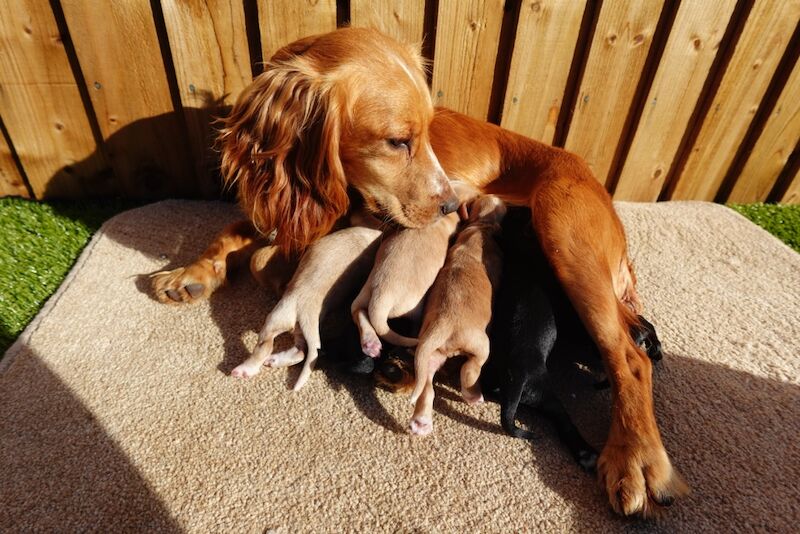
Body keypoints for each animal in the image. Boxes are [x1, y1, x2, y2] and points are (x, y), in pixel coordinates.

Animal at [231, 211, 382, 392]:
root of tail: (309, 315)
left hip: (277, 317)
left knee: (264, 347)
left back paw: (245, 369)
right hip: (300, 330)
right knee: (301, 352)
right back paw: (275, 361)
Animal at [410, 195, 504, 438]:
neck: (480, 226)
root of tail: (444, 324)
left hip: (431, 354)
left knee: (427, 387)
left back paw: (421, 422)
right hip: (481, 345)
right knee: (470, 369)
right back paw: (473, 394)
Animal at [482, 207, 664, 472]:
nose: (519, 207)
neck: (523, 258)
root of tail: (515, 380)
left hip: (538, 396)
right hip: (547, 392)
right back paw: (589, 454)